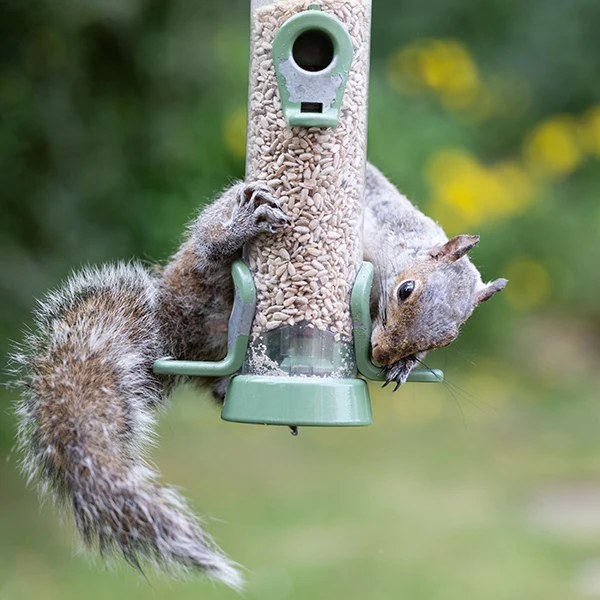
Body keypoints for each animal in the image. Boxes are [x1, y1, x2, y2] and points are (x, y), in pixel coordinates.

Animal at [9, 162, 506, 588]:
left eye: (448, 340)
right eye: (406, 290)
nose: (382, 354)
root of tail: (169, 334)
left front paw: (405, 366)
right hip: (203, 283)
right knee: (209, 249)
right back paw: (237, 228)